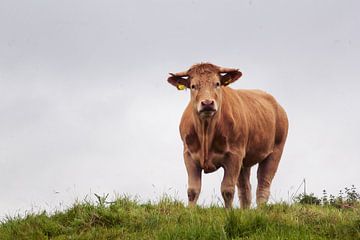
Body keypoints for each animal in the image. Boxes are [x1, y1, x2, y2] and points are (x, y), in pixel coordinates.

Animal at [167, 62, 288, 207]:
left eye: (217, 83)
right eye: (193, 86)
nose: (207, 103)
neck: (206, 133)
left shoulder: (234, 156)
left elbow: (227, 190)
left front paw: (229, 211)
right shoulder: (189, 155)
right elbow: (193, 190)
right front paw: (190, 211)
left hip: (275, 152)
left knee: (263, 186)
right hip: (244, 162)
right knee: (245, 190)